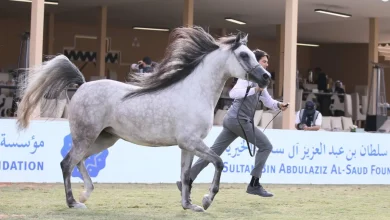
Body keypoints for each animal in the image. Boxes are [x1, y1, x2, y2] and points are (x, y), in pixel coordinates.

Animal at [16, 26, 272, 213]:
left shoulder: (187, 146)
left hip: (103, 139)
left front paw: (189, 205)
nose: (266, 77)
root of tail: (82, 85)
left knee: (78, 161)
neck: (194, 92)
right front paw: (207, 200)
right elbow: (218, 162)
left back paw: (85, 193)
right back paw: (74, 202)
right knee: (67, 163)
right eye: (244, 55)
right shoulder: (191, 142)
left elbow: (185, 175)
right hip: (86, 136)